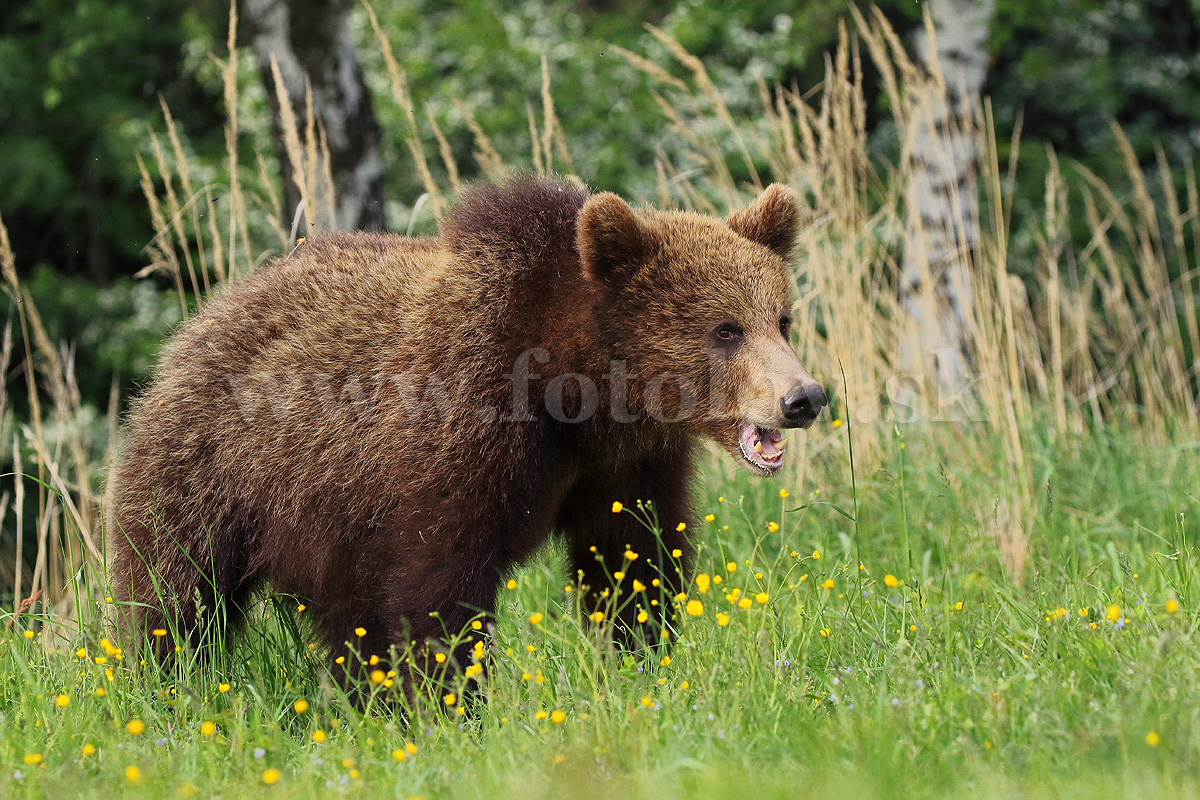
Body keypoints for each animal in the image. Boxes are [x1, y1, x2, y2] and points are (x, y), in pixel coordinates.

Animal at [110, 176, 825, 676]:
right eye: (725, 329)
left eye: (781, 318)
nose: (804, 397)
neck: (575, 396)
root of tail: (208, 311)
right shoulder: (458, 443)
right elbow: (438, 588)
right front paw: (452, 703)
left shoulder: (625, 466)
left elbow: (632, 562)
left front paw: (638, 663)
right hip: (214, 469)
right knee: (177, 593)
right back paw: (171, 684)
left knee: (345, 619)